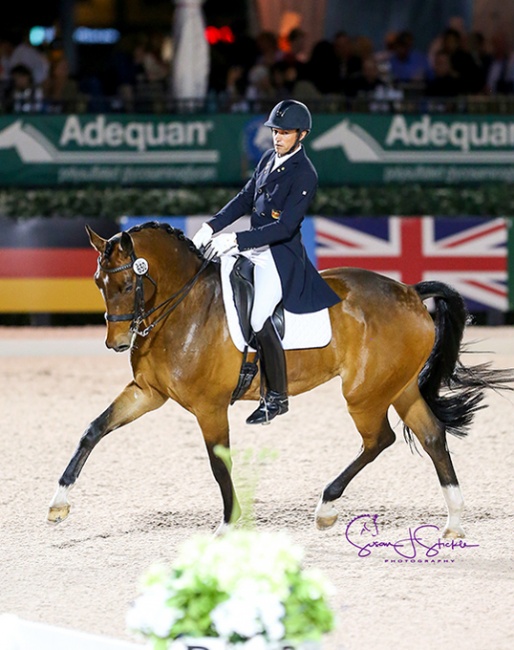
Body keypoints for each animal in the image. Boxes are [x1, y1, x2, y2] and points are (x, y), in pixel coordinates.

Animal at [47, 220, 508, 536]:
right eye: (97, 281)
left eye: (128, 283)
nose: (117, 343)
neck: (185, 308)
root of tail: (409, 291)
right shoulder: (148, 392)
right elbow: (93, 430)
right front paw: (58, 503)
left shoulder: (209, 407)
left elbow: (218, 464)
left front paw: (227, 524)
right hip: (399, 387)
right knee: (431, 437)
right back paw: (454, 521)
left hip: (364, 393)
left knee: (380, 440)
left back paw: (326, 507)